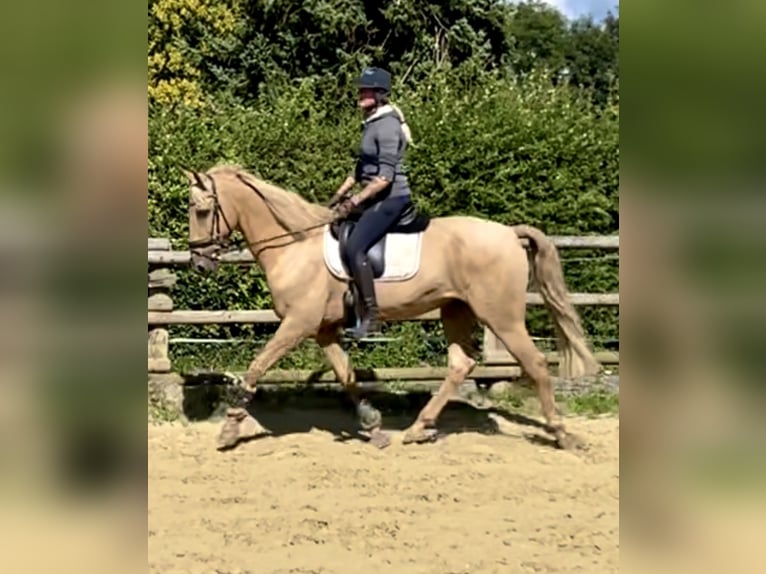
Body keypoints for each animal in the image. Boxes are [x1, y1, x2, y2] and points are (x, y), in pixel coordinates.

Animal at [183, 164, 604, 452]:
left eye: (201, 210)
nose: (199, 264)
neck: (294, 245)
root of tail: (509, 233)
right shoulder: (322, 329)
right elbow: (346, 374)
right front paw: (373, 425)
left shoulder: (297, 324)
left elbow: (257, 365)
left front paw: (230, 427)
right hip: (456, 310)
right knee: (461, 364)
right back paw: (419, 428)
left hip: (501, 316)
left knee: (535, 364)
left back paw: (562, 434)